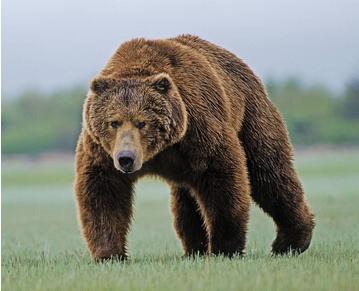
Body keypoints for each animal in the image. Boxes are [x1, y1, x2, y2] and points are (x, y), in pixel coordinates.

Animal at [74, 34, 314, 262]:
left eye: (142, 122)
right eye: (114, 122)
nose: (126, 158)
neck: (159, 152)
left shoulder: (199, 129)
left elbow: (223, 181)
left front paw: (225, 248)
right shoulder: (101, 151)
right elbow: (103, 192)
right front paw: (109, 254)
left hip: (251, 116)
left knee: (269, 173)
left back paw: (291, 241)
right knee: (186, 202)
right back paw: (194, 249)